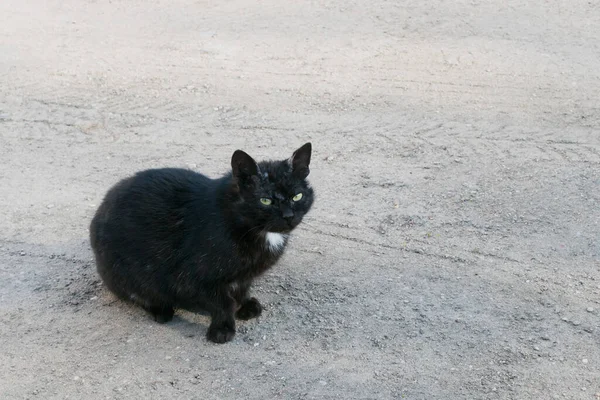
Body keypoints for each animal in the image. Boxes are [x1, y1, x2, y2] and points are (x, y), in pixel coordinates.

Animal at [90, 144, 314, 344]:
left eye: (297, 196)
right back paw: (161, 310)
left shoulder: (244, 275)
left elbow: (242, 289)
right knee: (139, 294)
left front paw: (245, 305)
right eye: (265, 200)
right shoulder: (194, 278)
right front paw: (222, 329)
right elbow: (222, 303)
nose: (289, 216)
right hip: (123, 273)